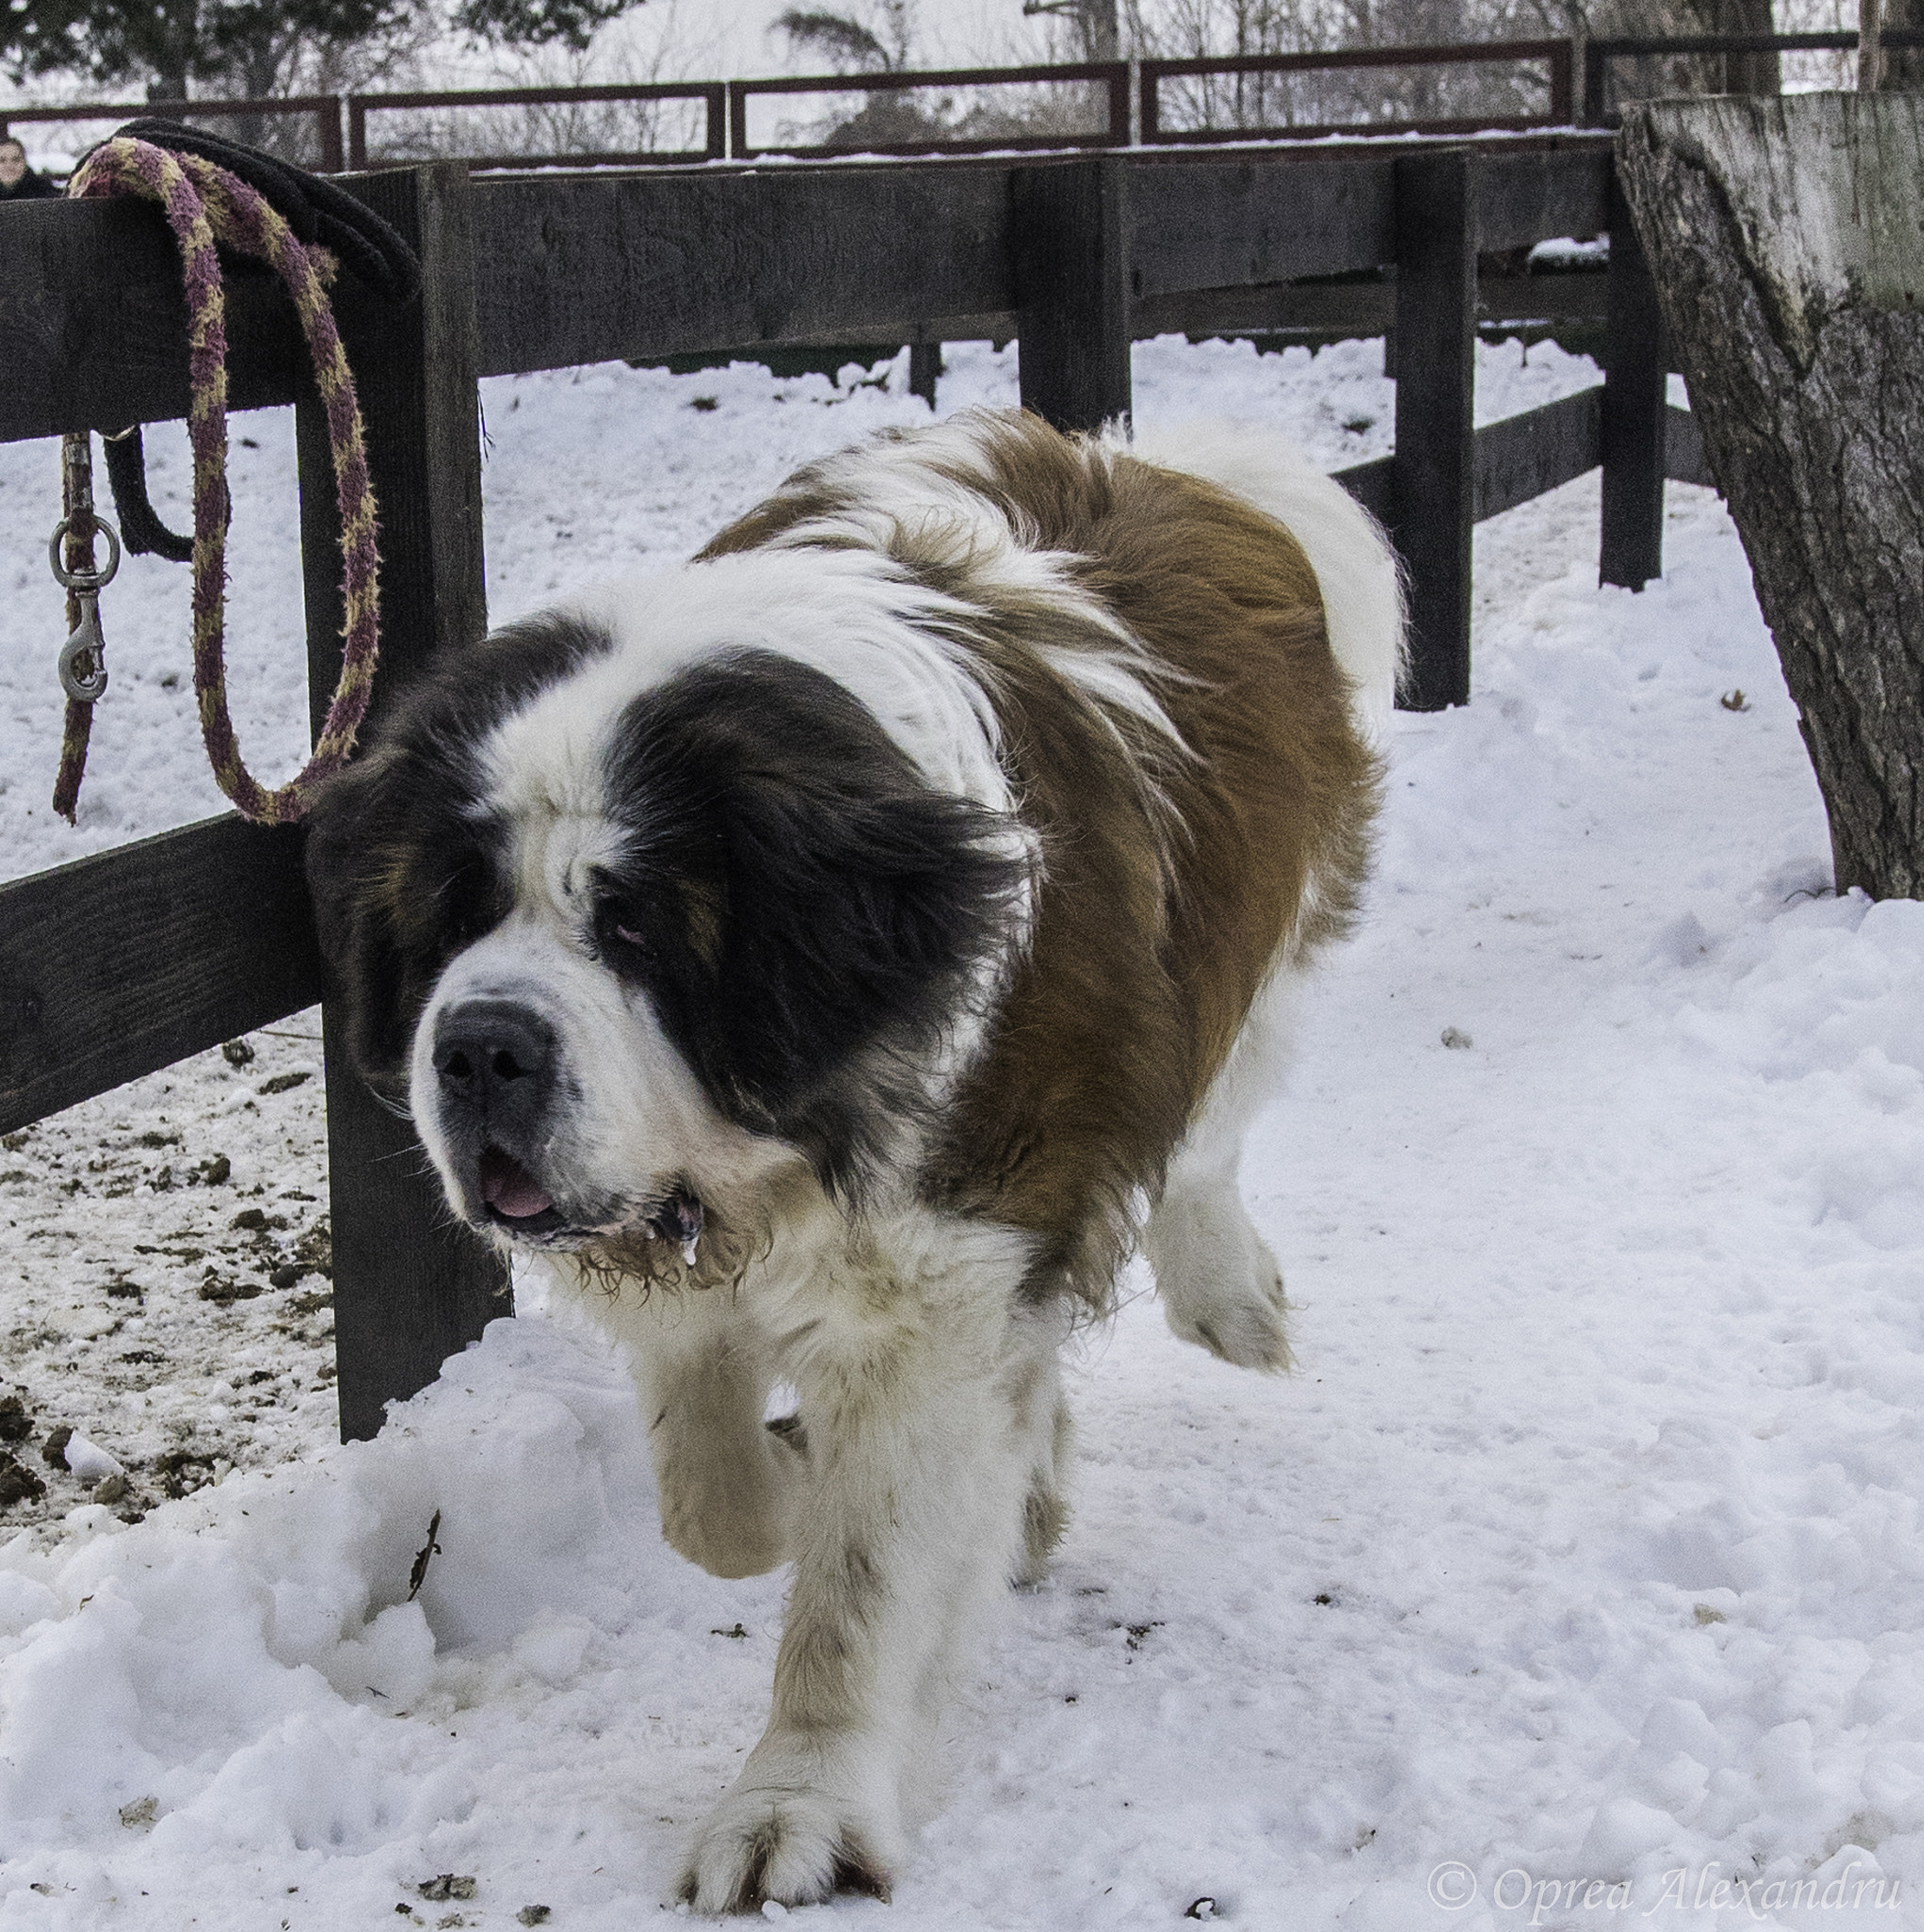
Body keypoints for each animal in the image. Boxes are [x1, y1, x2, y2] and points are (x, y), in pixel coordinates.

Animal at [308, 404, 1406, 1901]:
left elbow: (860, 1588)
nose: (479, 1046)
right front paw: (779, 1480)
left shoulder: (943, 1269)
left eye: (636, 924)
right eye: (450, 917)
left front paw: (800, 1805)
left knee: (1206, 1140)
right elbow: (708, 1500)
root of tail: (1147, 461)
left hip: (1255, 958)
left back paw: (1227, 1295)